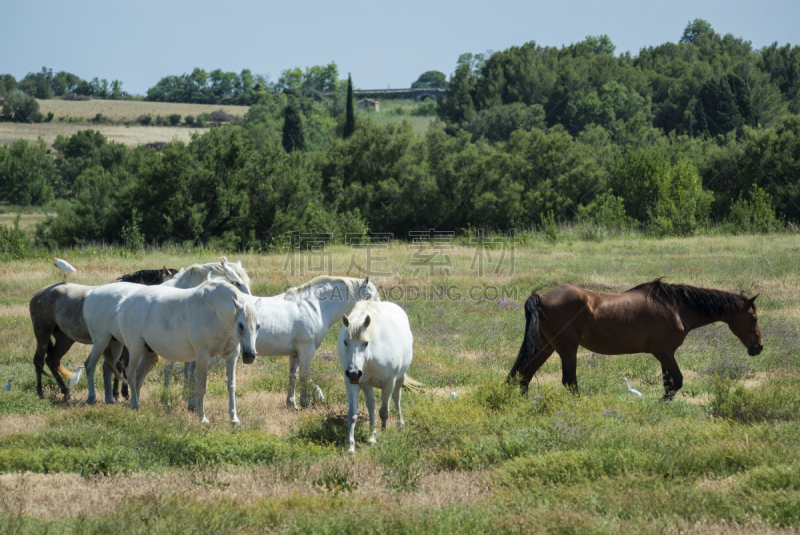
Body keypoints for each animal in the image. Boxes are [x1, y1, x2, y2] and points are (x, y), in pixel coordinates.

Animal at [84, 280, 260, 422]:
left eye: (258, 326)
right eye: (241, 325)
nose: (250, 355)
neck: (215, 312)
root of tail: (123, 302)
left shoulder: (232, 355)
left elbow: (231, 386)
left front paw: (234, 419)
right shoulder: (202, 356)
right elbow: (201, 386)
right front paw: (202, 418)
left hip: (145, 353)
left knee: (136, 377)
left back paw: (134, 404)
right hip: (126, 346)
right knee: (124, 372)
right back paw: (124, 402)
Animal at [338, 302, 412, 452]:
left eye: (366, 343)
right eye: (345, 342)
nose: (353, 373)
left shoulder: (389, 383)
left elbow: (384, 411)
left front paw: (384, 434)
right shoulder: (352, 384)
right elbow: (352, 415)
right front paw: (351, 446)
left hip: (400, 378)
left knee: (397, 398)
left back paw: (400, 423)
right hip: (366, 385)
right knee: (371, 405)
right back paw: (372, 436)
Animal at [506, 280, 764, 398]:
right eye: (754, 318)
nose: (759, 347)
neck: (676, 307)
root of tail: (540, 297)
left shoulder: (665, 355)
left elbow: (669, 383)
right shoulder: (664, 351)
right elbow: (678, 381)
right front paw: (659, 403)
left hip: (545, 347)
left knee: (522, 376)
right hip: (567, 349)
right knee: (568, 382)